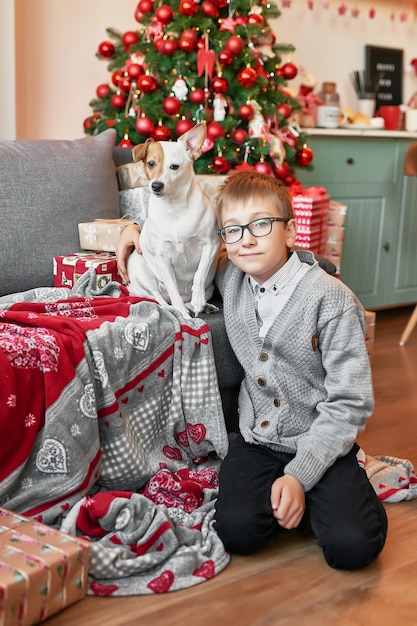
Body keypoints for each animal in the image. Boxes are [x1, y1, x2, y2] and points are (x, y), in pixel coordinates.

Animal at [126, 123, 219, 316]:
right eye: (151, 163)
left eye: (174, 166)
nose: (156, 185)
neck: (174, 207)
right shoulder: (163, 259)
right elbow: (173, 290)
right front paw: (183, 315)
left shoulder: (211, 245)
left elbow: (199, 274)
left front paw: (198, 299)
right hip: (144, 274)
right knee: (160, 298)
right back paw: (175, 309)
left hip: (210, 288)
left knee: (188, 299)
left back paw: (203, 305)